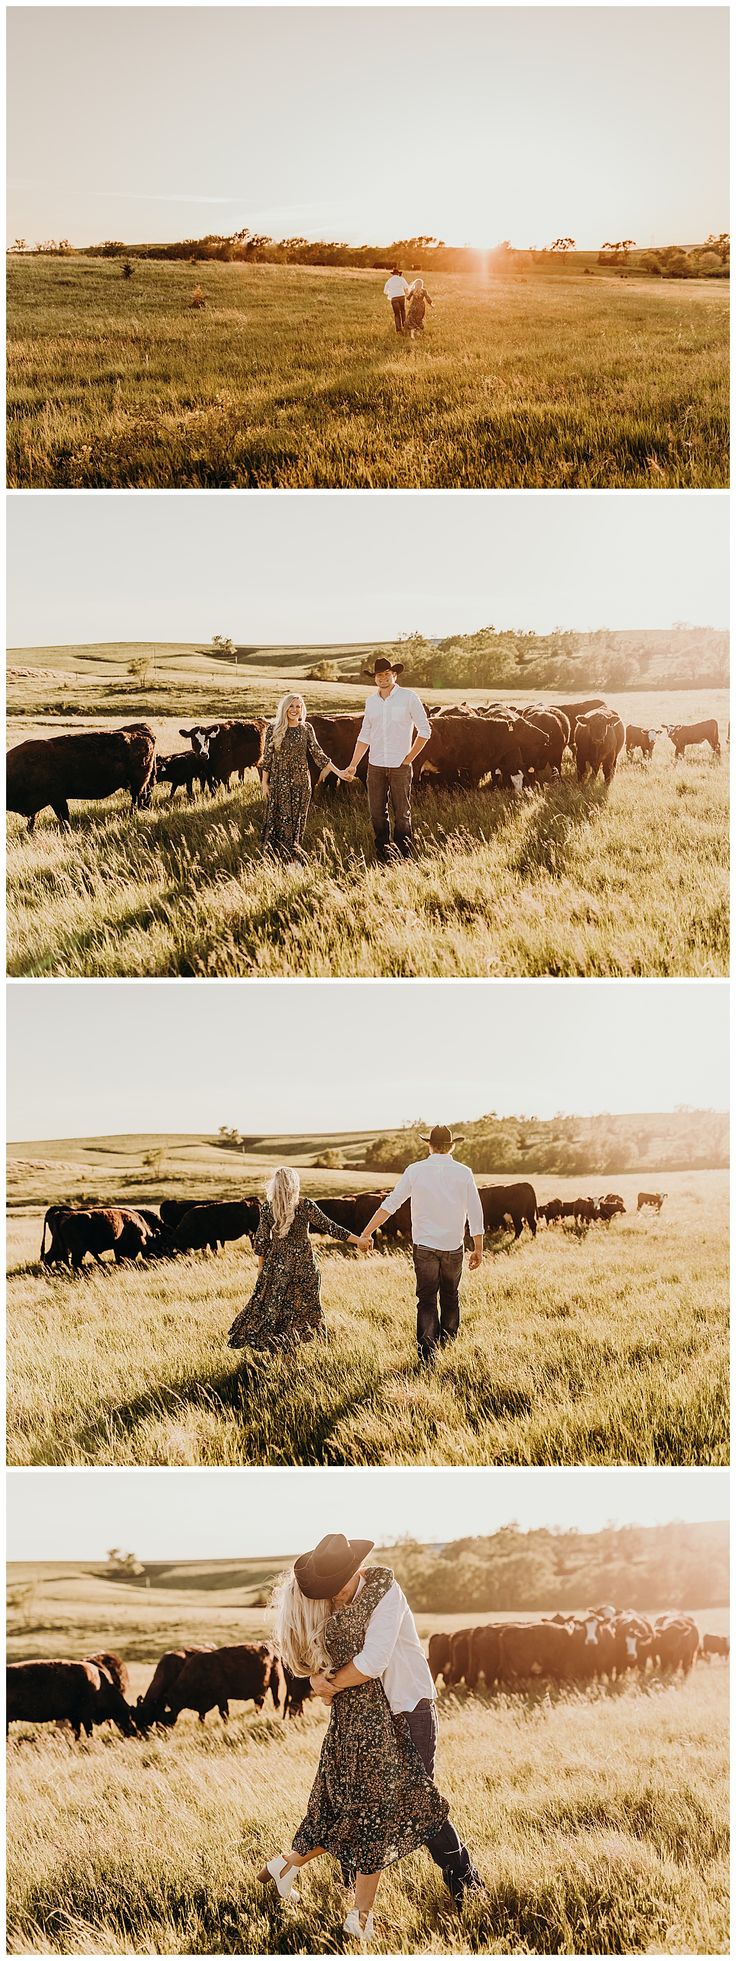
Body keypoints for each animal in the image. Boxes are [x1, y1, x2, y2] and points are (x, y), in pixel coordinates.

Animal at [6, 729, 157, 835]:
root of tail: (144, 735)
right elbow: (33, 820)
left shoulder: (57, 799)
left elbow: (63, 818)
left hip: (137, 784)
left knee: (137, 799)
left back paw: (133, 815)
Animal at [6, 1662, 137, 1741]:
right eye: (128, 1715)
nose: (134, 1733)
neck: (99, 1686)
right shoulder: (85, 1716)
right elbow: (88, 1731)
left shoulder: (74, 1717)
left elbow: (77, 1732)